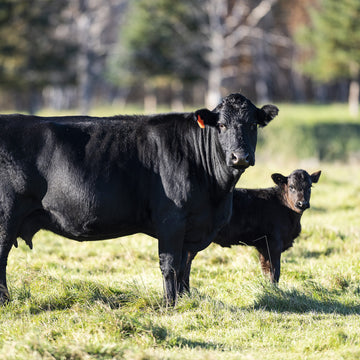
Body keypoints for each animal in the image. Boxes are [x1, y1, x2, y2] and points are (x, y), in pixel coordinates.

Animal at [0, 93, 278, 304]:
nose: (240, 157)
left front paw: (186, 300)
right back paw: (5, 301)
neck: (216, 195)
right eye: (221, 125)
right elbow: (170, 264)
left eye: (252, 124)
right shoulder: (171, 221)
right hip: (7, 215)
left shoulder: (194, 229)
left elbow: (185, 266)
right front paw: (169, 304)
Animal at [181, 169, 322, 290]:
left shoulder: (263, 246)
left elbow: (266, 271)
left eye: (310, 187)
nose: (302, 204)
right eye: (291, 186)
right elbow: (275, 272)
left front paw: (269, 290)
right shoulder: (274, 244)